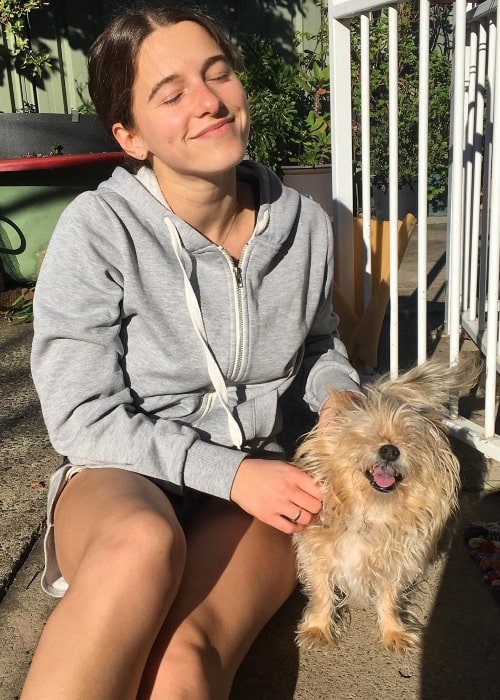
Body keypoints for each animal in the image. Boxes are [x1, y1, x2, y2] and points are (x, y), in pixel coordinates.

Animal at [294, 360, 478, 656]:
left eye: (408, 439)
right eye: (367, 435)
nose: (390, 450)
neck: (370, 511)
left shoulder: (396, 565)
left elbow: (389, 600)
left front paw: (394, 632)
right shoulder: (317, 557)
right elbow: (323, 595)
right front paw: (318, 629)